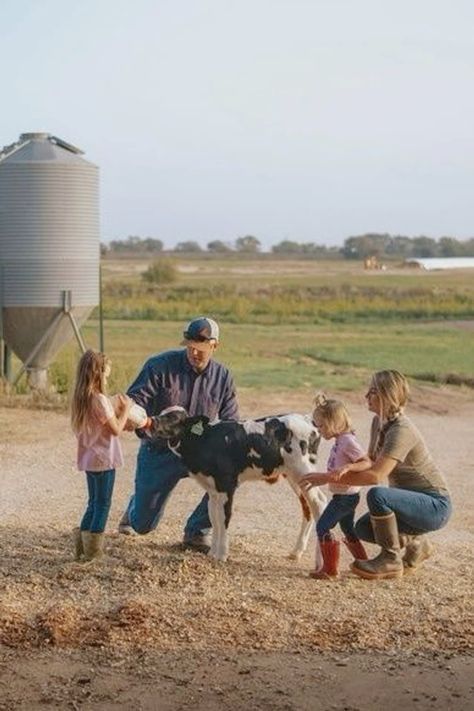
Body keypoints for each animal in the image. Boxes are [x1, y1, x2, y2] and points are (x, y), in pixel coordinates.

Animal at [150, 408, 328, 564]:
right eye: (161, 413)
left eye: (173, 417)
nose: (152, 422)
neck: (205, 440)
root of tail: (307, 418)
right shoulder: (213, 489)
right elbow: (214, 517)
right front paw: (212, 553)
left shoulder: (226, 484)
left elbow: (224, 517)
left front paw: (221, 555)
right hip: (294, 476)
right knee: (307, 507)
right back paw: (296, 552)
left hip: (304, 470)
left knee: (319, 502)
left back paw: (321, 562)